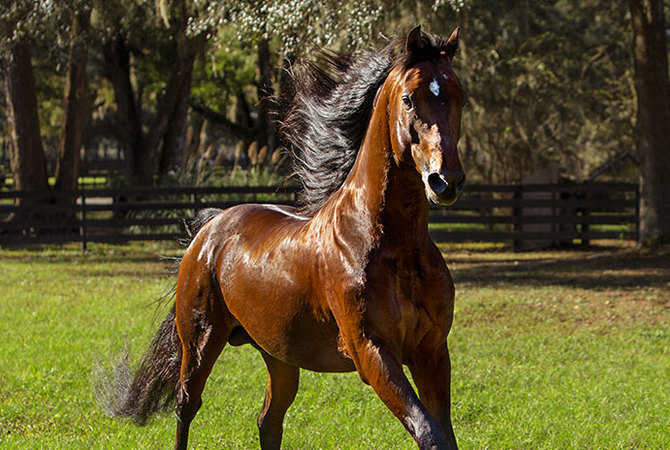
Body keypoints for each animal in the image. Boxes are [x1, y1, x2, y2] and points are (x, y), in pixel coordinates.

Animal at [100, 25, 468, 450]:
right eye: (409, 98)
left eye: (458, 95)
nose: (445, 180)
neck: (394, 248)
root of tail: (211, 227)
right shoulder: (373, 352)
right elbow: (430, 433)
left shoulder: (431, 353)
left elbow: (444, 433)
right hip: (200, 342)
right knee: (186, 406)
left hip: (278, 355)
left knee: (268, 421)